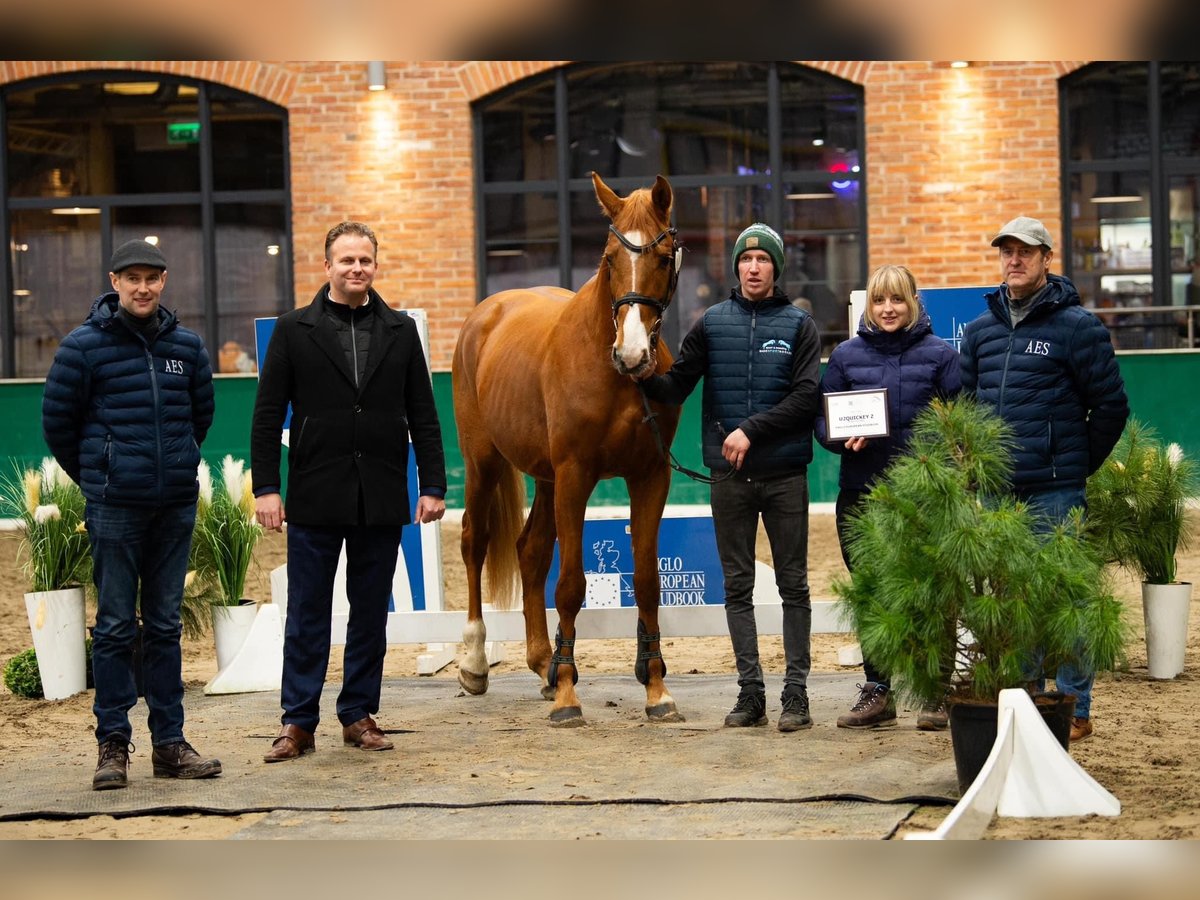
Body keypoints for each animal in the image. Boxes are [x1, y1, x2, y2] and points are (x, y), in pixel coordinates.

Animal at [453, 172, 686, 729]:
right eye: (609, 259)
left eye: (662, 257)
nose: (632, 354)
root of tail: (487, 313)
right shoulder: (577, 474)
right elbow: (572, 586)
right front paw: (567, 696)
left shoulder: (650, 475)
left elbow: (646, 580)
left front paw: (656, 688)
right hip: (484, 461)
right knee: (475, 541)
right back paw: (476, 663)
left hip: (545, 477)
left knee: (531, 550)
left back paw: (544, 662)